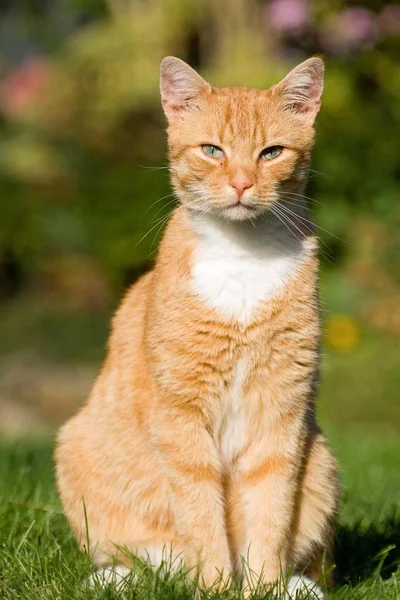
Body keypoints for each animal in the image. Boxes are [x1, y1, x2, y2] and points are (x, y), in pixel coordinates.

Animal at [55, 55, 338, 596]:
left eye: (272, 152)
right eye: (212, 151)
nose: (242, 184)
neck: (242, 255)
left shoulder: (281, 413)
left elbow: (270, 511)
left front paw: (262, 587)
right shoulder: (181, 415)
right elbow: (201, 513)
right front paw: (216, 588)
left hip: (322, 464)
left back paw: (298, 586)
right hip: (77, 447)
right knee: (148, 559)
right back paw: (120, 578)